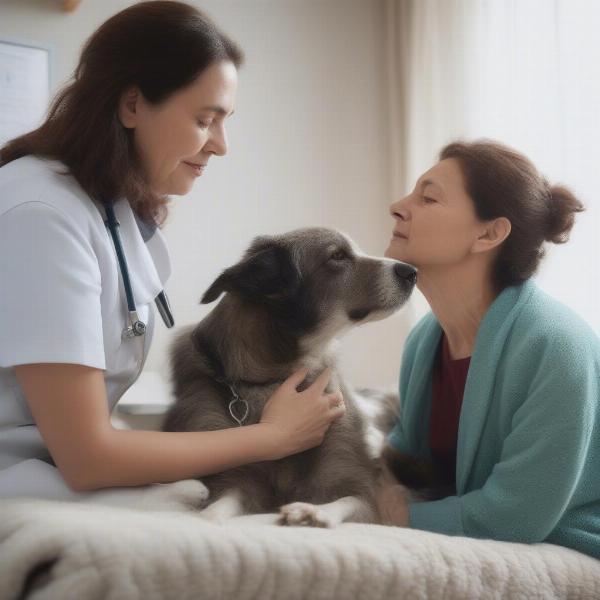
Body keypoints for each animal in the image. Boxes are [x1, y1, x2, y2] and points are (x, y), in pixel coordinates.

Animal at [164, 227, 418, 528]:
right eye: (337, 255)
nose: (412, 271)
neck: (276, 378)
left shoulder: (366, 495)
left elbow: (348, 500)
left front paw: (314, 512)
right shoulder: (242, 479)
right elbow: (221, 505)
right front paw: (204, 518)